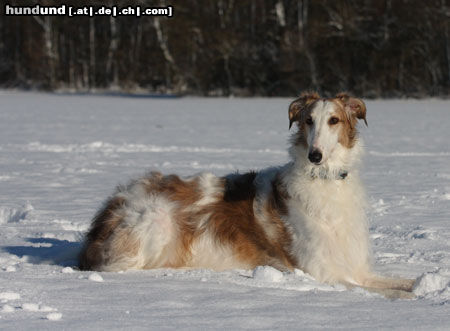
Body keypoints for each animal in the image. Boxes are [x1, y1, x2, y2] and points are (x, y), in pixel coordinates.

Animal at [79, 92, 416, 300]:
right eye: (308, 121)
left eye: (334, 120)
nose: (315, 156)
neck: (325, 182)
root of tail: (112, 205)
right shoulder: (321, 272)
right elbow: (385, 292)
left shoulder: (356, 267)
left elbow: (402, 280)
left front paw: (420, 285)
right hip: (156, 223)